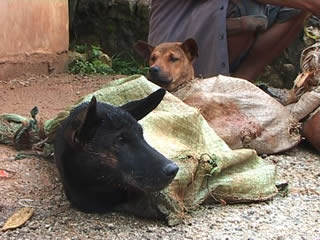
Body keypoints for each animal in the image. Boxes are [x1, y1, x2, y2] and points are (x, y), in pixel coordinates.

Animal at [135, 38, 320, 153]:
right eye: (153, 58)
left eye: (173, 58)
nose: (153, 70)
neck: (185, 84)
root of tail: (291, 128)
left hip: (207, 100)